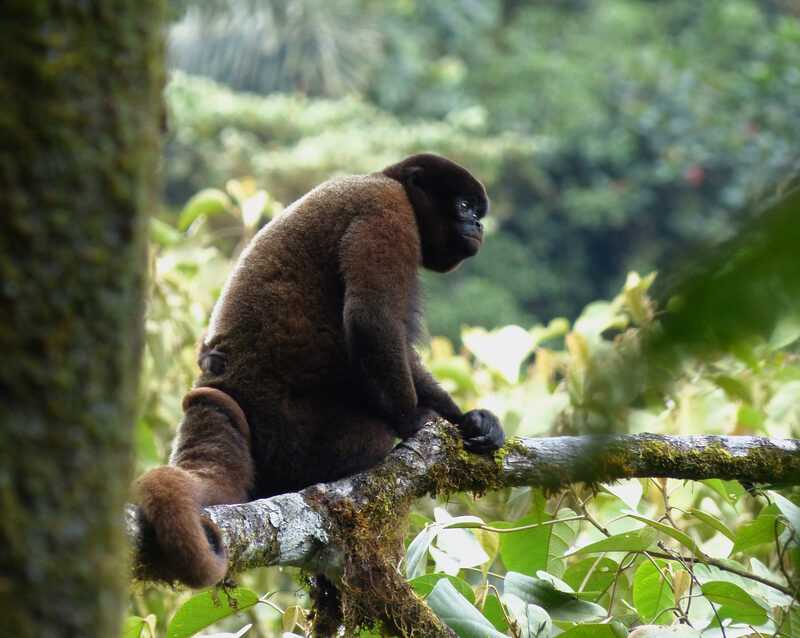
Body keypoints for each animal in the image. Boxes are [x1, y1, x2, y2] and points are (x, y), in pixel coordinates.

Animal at [134, 153, 505, 588]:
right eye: (463, 206)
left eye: (477, 212)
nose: (478, 225)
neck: (389, 181)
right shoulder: (386, 208)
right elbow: (370, 319)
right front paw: (415, 421)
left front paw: (472, 420)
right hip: (296, 440)